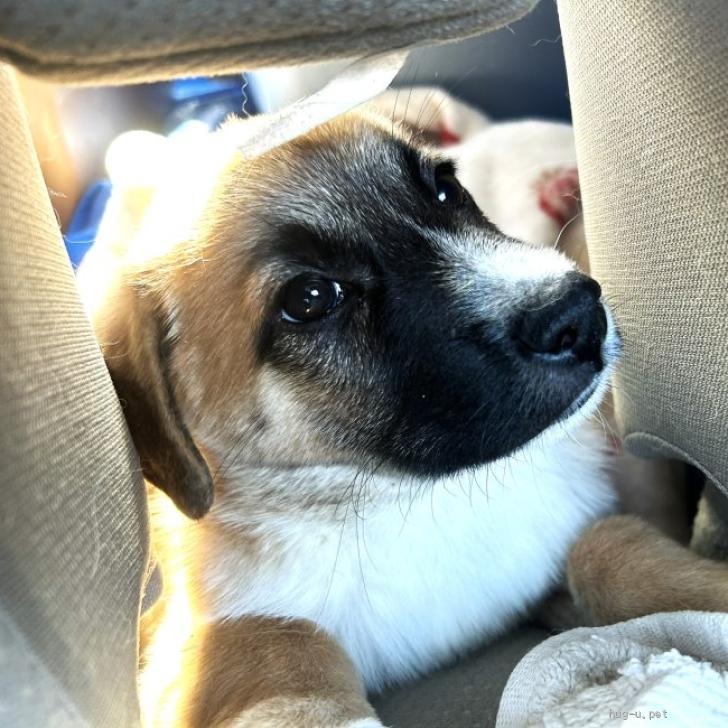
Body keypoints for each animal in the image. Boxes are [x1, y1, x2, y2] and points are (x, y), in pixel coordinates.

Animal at [82, 107, 624, 726]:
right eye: (310, 298)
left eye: (445, 189)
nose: (578, 315)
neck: (414, 506)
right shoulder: (205, 644)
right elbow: (285, 646)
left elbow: (610, 552)